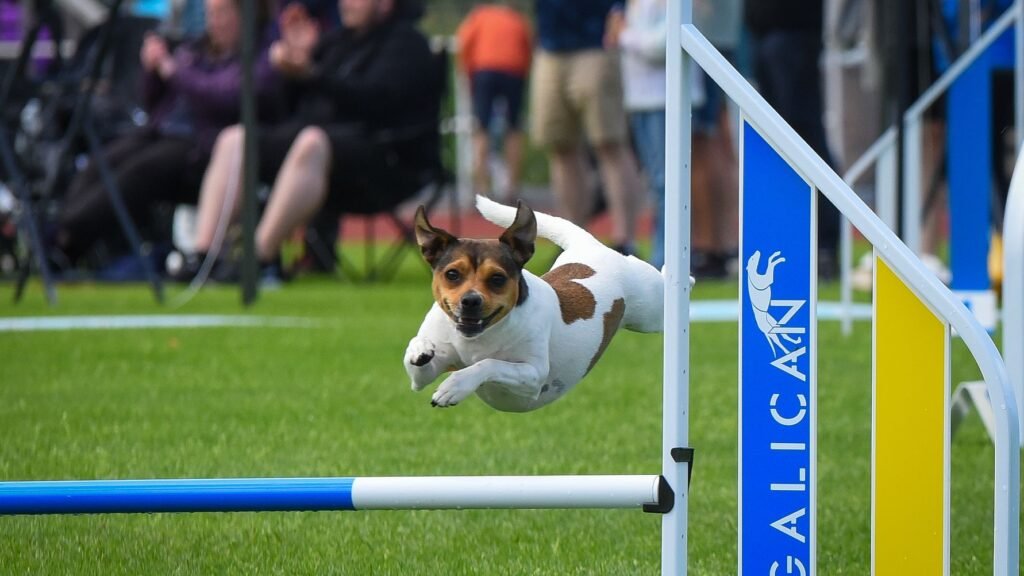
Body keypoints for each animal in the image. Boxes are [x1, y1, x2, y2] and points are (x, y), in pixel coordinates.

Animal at [403, 194, 667, 409]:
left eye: (497, 278)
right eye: (452, 274)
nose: (470, 301)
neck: (479, 337)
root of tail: (591, 246)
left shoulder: (533, 375)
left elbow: (488, 363)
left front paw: (455, 386)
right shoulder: (423, 376)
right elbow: (416, 361)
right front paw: (419, 348)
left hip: (652, 312)